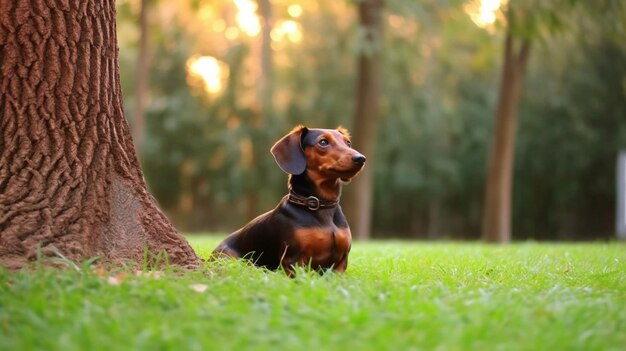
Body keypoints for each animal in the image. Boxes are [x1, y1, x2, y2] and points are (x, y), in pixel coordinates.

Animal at [212, 125, 364, 276]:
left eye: (348, 143)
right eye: (323, 142)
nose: (361, 158)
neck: (321, 205)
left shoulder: (341, 262)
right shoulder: (293, 259)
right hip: (228, 258)